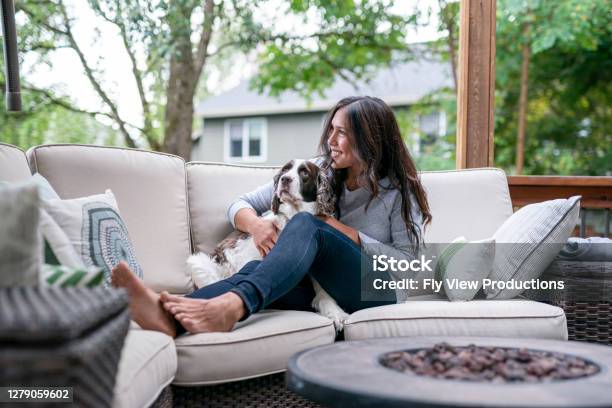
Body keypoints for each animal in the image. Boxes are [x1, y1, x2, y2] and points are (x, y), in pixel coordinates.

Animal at [186, 159, 350, 332]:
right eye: (285, 169)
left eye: (304, 172)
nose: (285, 179)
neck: (294, 215)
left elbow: (323, 291)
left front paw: (335, 313)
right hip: (198, 262)